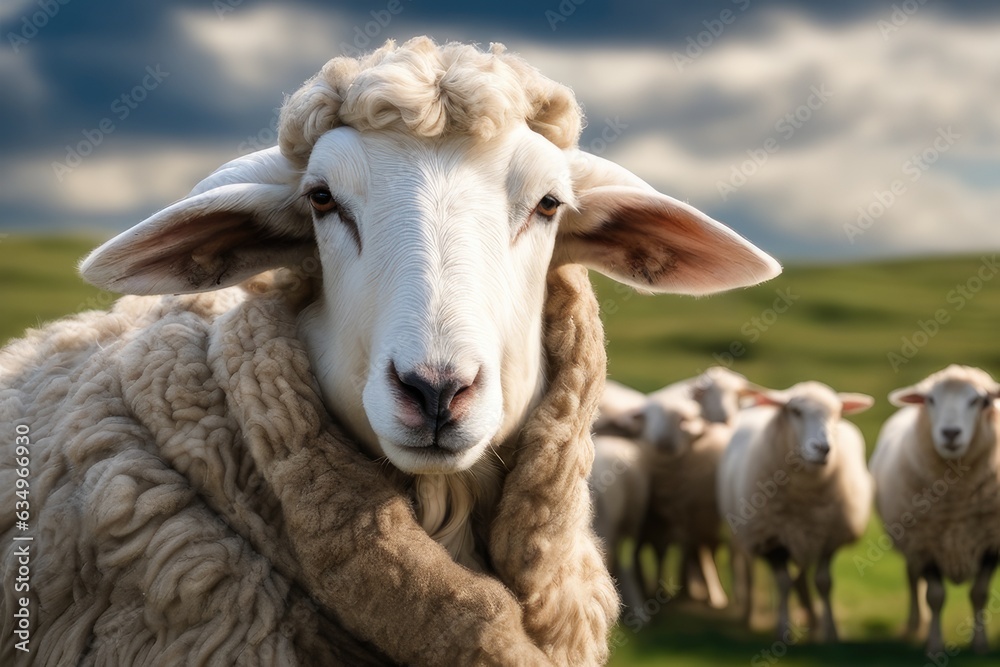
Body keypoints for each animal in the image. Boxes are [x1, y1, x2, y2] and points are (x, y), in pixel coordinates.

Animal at [717, 381, 873, 642]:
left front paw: (830, 633)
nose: (823, 448)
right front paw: (783, 630)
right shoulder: (771, 539)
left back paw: (813, 620)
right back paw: (749, 613)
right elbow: (782, 584)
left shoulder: (828, 537)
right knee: (750, 567)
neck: (804, 496)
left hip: (804, 538)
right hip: (747, 532)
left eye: (837, 413)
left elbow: (823, 583)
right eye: (796, 412)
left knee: (801, 578)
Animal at [869, 364, 1000, 656]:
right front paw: (935, 645)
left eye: (980, 401)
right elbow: (935, 597)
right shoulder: (926, 543)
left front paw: (980, 644)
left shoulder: (991, 543)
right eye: (931, 400)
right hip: (909, 543)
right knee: (912, 579)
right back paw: (914, 626)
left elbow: (979, 594)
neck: (956, 498)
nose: (950, 433)